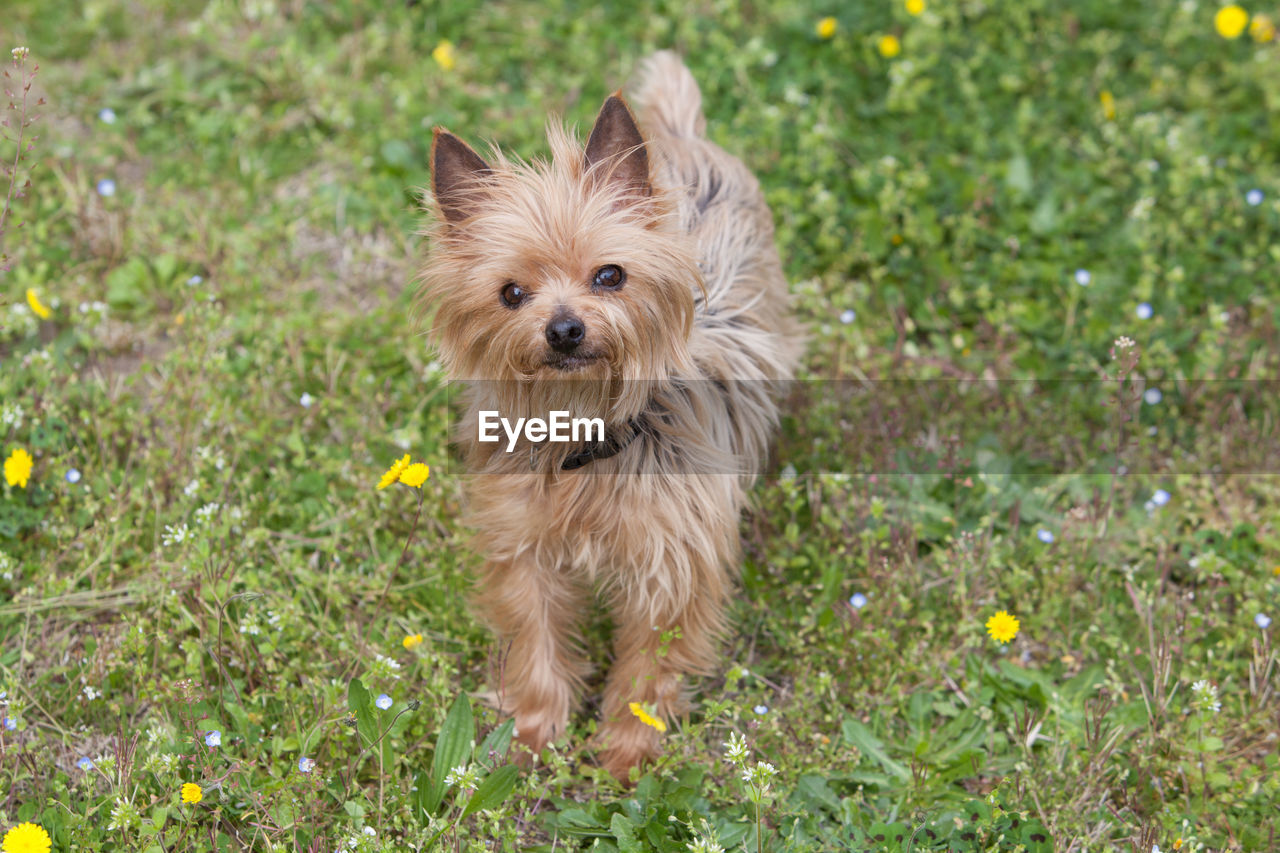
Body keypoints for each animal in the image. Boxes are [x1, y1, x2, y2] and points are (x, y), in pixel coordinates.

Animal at [424, 49, 793, 773]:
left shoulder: (671, 561)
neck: (586, 433)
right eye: (512, 293)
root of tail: (676, 133)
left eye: (610, 276)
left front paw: (629, 748)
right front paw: (532, 733)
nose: (565, 329)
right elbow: (535, 638)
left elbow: (648, 665)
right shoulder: (524, 546)